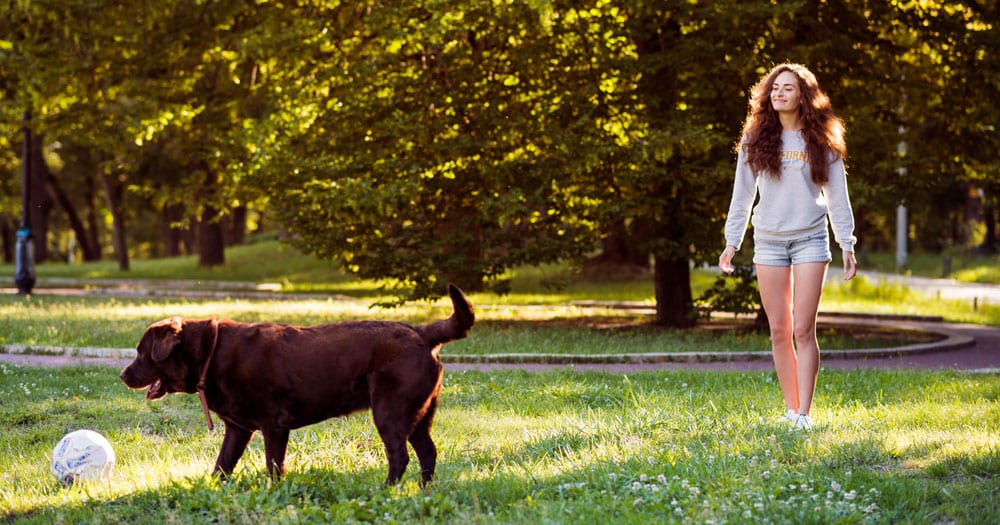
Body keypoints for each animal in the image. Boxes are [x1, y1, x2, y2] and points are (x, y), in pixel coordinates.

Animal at [120, 282, 472, 484]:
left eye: (141, 352)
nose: (123, 375)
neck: (211, 352)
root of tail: (421, 332)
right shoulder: (238, 430)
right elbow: (222, 465)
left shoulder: (274, 426)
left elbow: (273, 466)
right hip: (419, 415)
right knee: (428, 453)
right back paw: (422, 490)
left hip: (390, 412)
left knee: (400, 456)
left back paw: (387, 491)